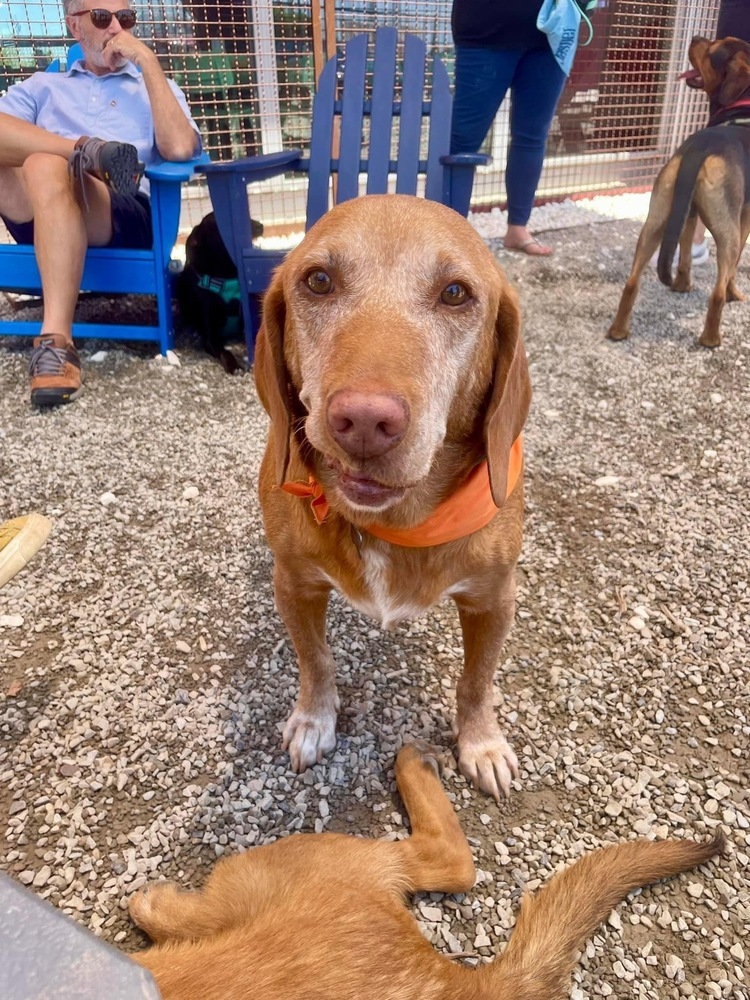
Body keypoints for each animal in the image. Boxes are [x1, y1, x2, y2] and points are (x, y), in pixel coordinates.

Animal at [254, 193, 536, 796]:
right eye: (318, 281)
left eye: (455, 293)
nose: (363, 420)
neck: (395, 523)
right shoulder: (293, 584)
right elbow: (315, 660)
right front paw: (313, 720)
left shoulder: (495, 597)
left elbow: (477, 680)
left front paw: (481, 742)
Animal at [608, 36, 750, 348]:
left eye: (712, 49)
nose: (696, 37)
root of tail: (701, 148)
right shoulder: (745, 220)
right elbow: (734, 269)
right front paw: (735, 294)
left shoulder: (688, 212)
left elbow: (684, 253)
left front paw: (683, 285)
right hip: (728, 231)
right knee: (718, 289)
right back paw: (711, 338)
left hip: (657, 219)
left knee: (631, 282)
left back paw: (618, 330)